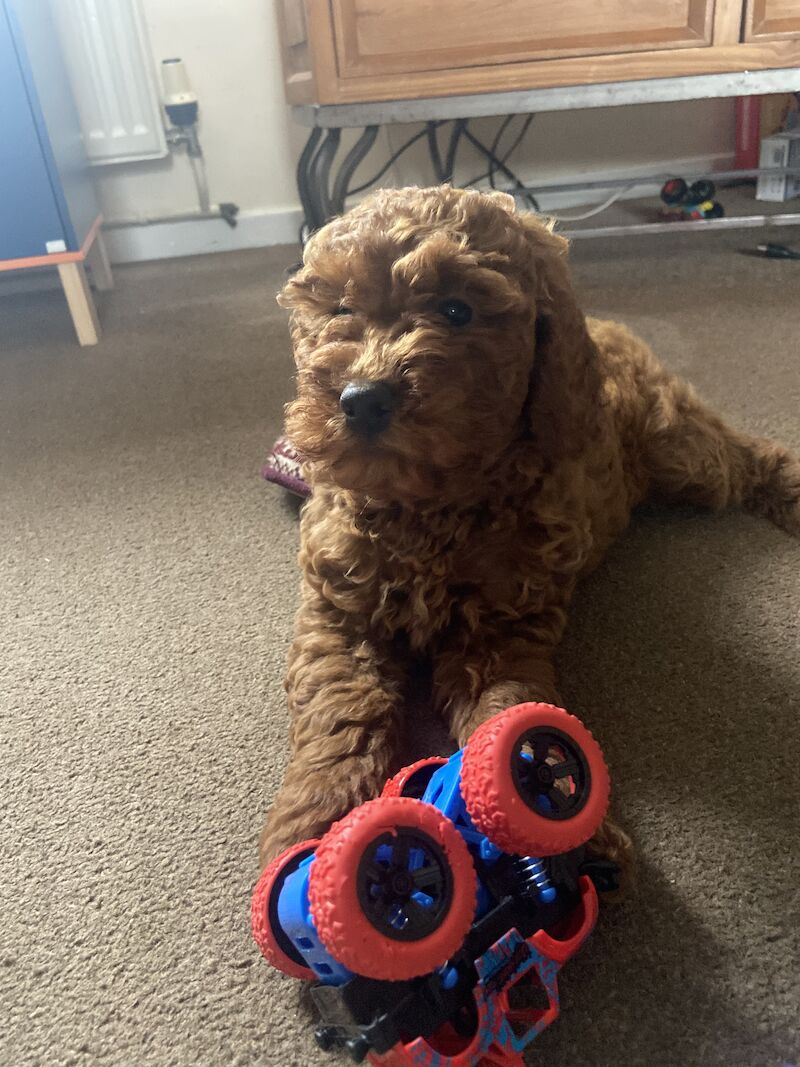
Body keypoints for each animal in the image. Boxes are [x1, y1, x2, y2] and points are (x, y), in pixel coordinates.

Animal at [260, 185, 797, 883]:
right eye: (341, 308)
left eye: (457, 310)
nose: (362, 399)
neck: (428, 505)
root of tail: (607, 326)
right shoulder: (335, 613)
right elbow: (341, 708)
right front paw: (322, 823)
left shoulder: (499, 629)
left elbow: (509, 707)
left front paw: (542, 806)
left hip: (682, 456)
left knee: (745, 454)